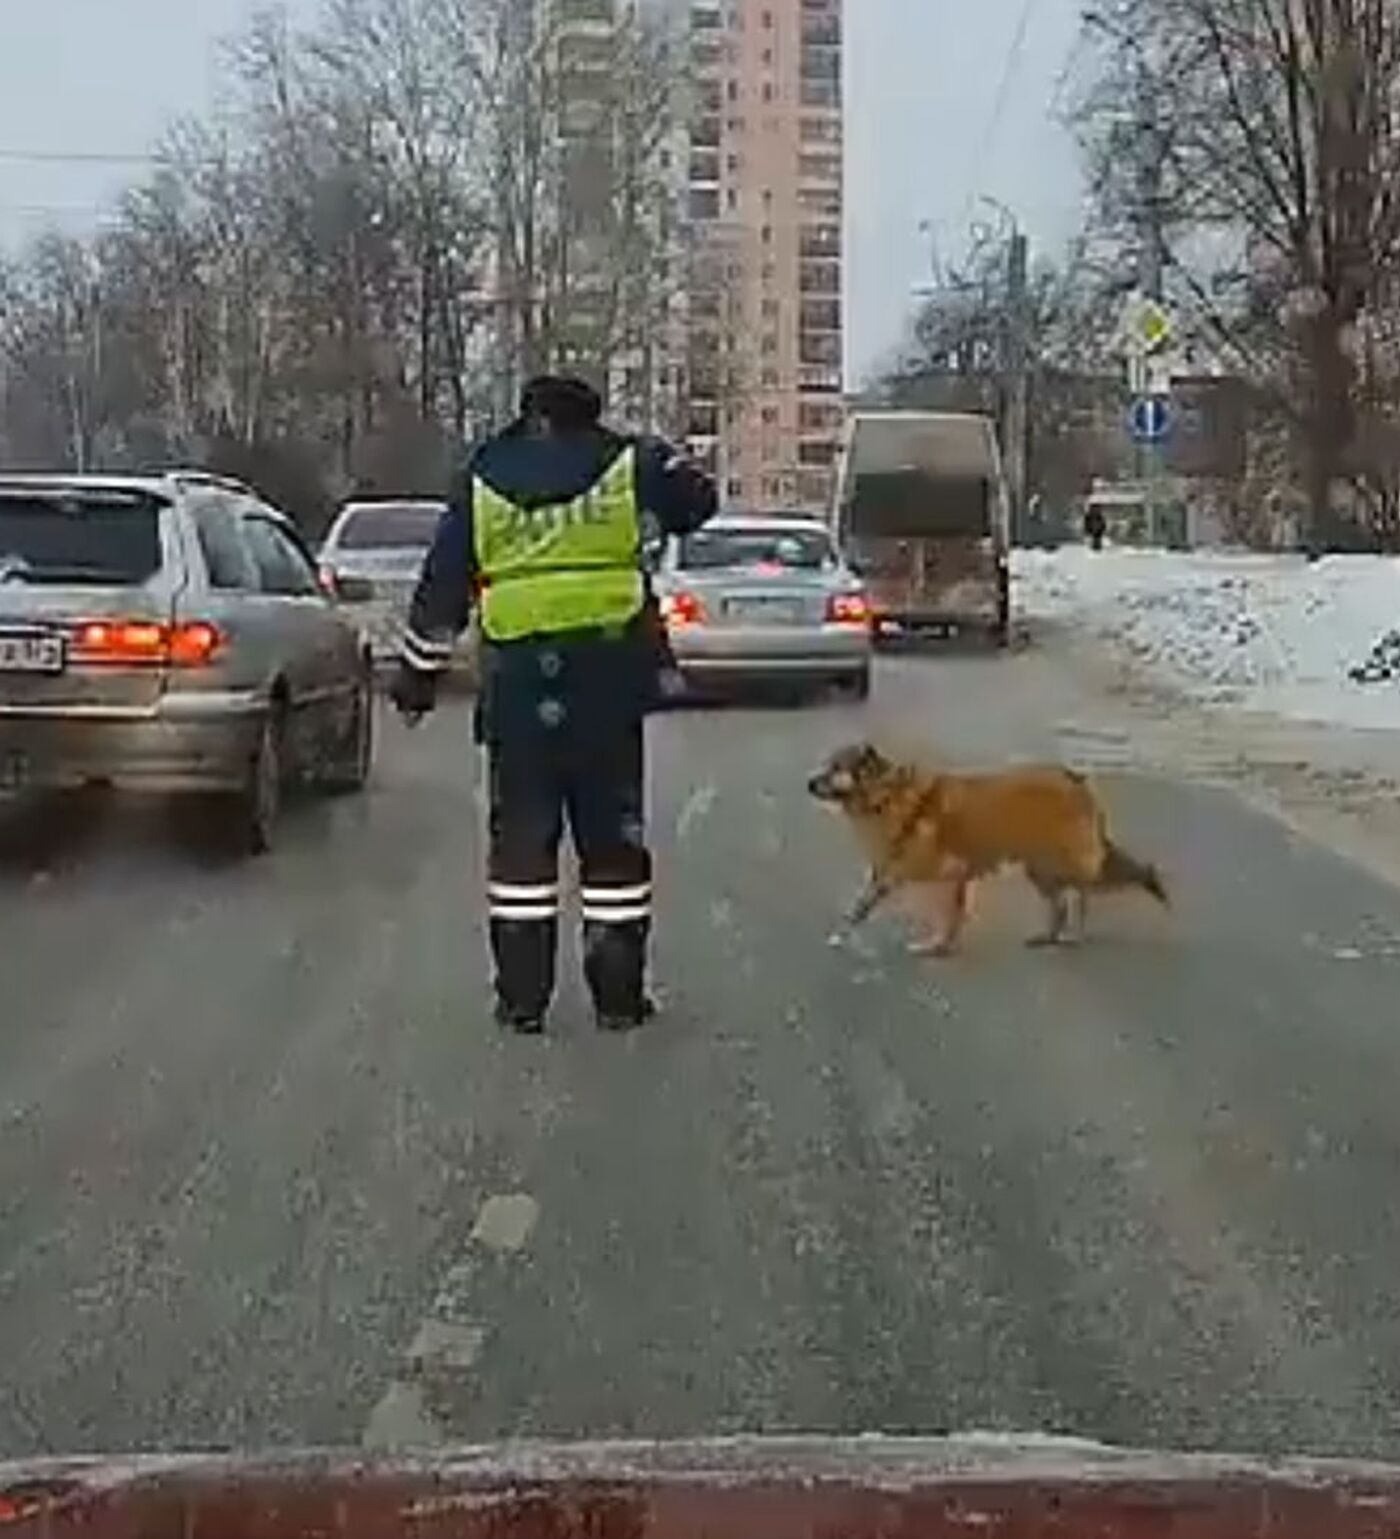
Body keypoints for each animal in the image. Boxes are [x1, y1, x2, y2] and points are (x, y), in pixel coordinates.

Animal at [806, 741, 1169, 954]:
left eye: (836, 769)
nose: (809, 783)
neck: (885, 795)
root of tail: (1074, 778)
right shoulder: (888, 873)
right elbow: (859, 905)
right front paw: (842, 931)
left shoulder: (952, 874)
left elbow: (948, 914)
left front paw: (938, 945)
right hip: (1038, 867)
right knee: (1061, 903)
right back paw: (1047, 936)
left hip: (1060, 860)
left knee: (1082, 894)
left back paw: (1073, 935)